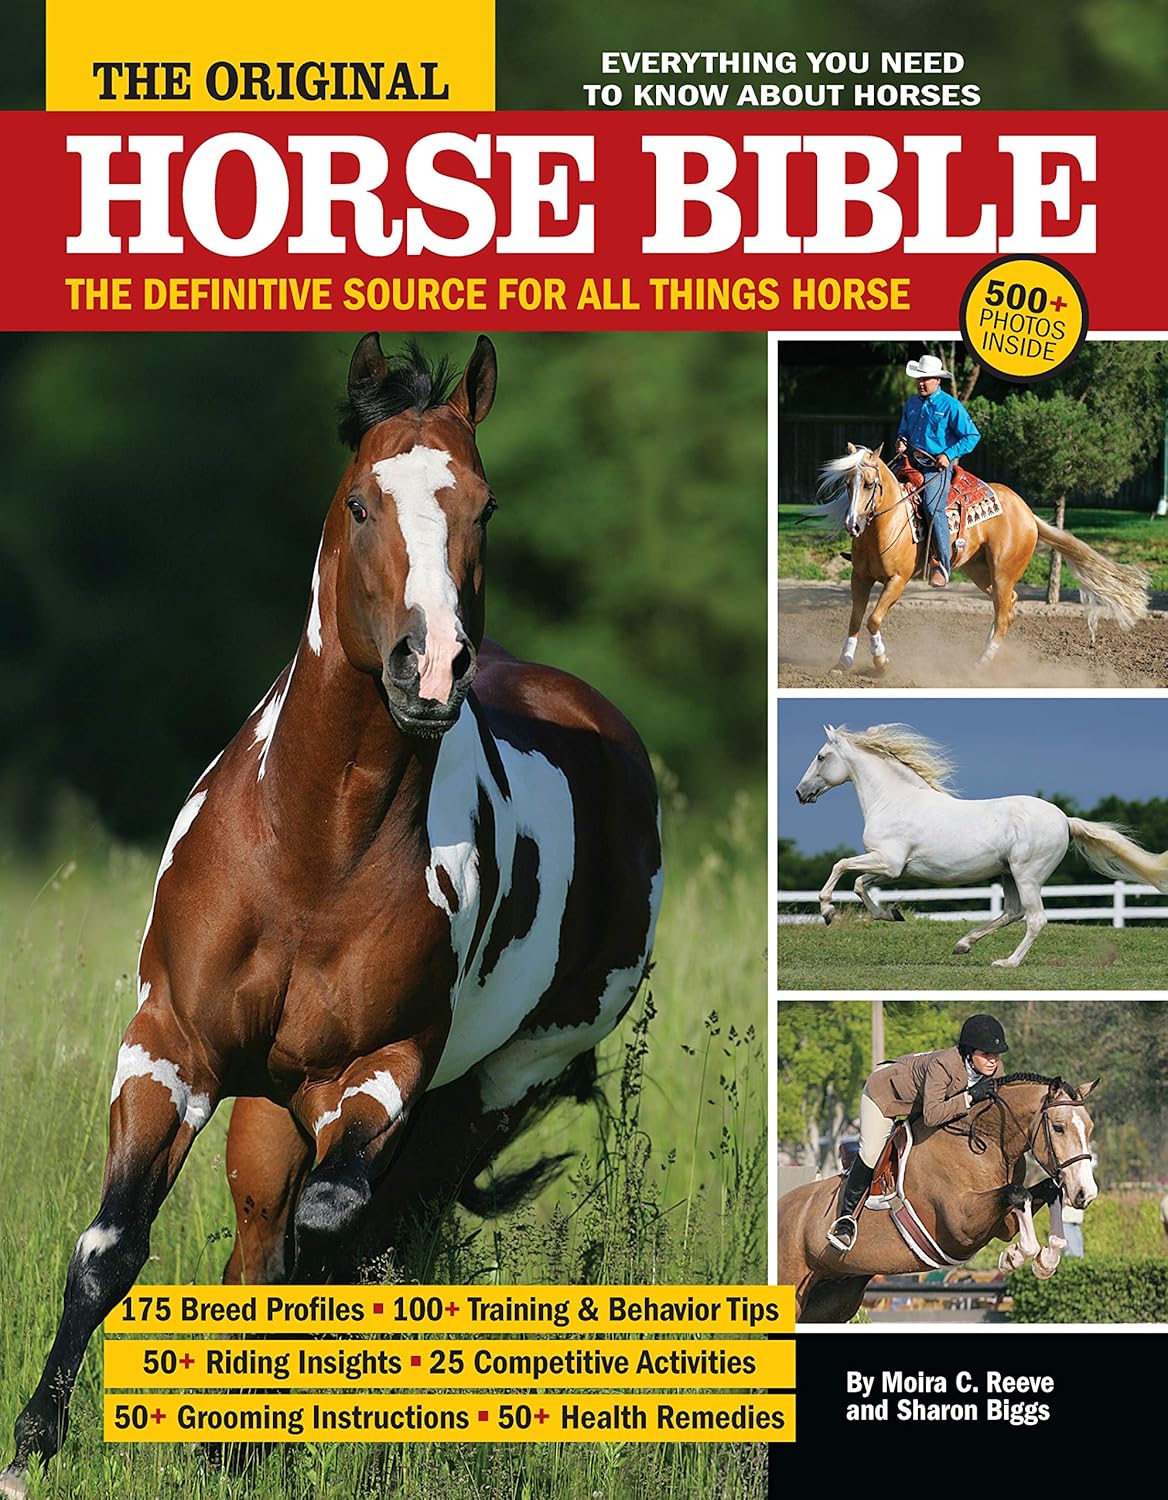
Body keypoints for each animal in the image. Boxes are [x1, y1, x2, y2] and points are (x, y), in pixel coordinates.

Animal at [0, 336, 663, 1495]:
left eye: (485, 506)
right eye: (361, 501)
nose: (429, 668)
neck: (311, 854)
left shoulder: (383, 1069)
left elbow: (335, 1232)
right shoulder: (169, 1047)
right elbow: (112, 1247)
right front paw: (33, 1448)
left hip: (491, 1091)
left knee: (383, 1240)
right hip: (273, 1103)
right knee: (267, 1246)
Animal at [777, 1075, 1099, 1323]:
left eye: (1090, 1128)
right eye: (1058, 1127)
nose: (1086, 1194)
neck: (984, 1141)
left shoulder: (1000, 1221)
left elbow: (1045, 1191)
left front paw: (1045, 1259)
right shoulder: (960, 1226)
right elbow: (1018, 1193)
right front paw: (1016, 1257)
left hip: (832, 1300)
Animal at [793, 723, 1168, 967]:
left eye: (821, 756)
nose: (800, 793)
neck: (894, 800)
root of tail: (1064, 819)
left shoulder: (888, 861)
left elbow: (841, 866)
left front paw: (827, 912)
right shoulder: (892, 868)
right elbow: (859, 883)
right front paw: (891, 914)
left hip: (1027, 875)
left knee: (1035, 919)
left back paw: (1007, 962)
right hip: (1009, 874)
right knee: (1013, 912)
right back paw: (963, 944)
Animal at [813, 444, 1148, 673]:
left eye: (869, 484)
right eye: (847, 484)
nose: (853, 525)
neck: (888, 524)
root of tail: (1027, 513)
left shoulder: (898, 581)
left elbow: (873, 618)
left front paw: (881, 661)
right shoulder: (860, 578)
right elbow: (855, 618)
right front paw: (842, 662)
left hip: (1002, 572)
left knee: (1002, 613)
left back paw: (982, 662)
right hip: (981, 572)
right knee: (1008, 605)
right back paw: (987, 651)